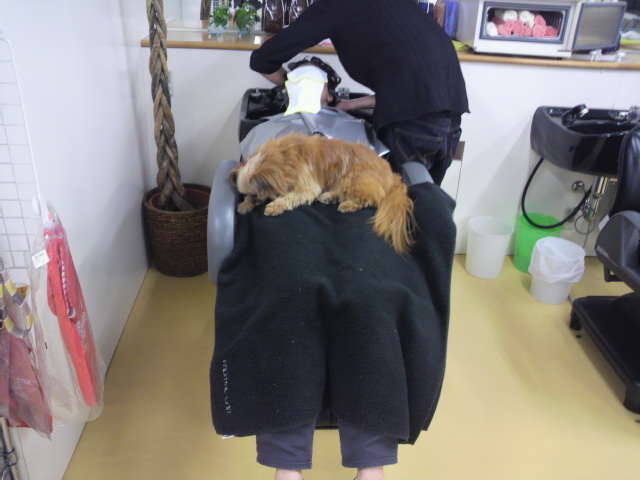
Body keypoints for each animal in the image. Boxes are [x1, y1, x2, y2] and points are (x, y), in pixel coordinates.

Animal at [230, 132, 415, 255]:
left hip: (353, 176)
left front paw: (274, 206)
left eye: (256, 195)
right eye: (247, 195)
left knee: (367, 199)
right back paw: (328, 197)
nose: (250, 201)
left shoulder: (306, 187)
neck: (282, 158)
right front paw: (244, 206)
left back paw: (348, 204)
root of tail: (392, 175)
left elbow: (288, 197)